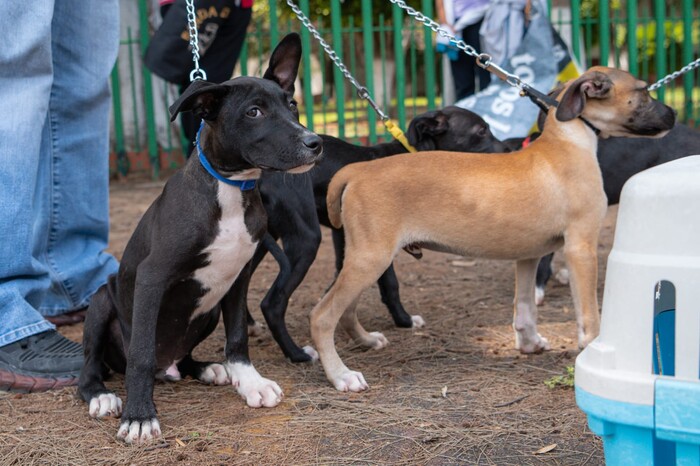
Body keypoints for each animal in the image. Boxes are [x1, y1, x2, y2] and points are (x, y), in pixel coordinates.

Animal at [78, 33, 324, 444]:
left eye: (291, 104)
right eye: (254, 112)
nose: (314, 142)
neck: (231, 189)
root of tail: (167, 368)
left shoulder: (239, 276)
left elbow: (237, 335)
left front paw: (249, 381)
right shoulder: (152, 277)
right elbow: (141, 353)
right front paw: (140, 416)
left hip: (206, 311)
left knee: (185, 356)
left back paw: (208, 368)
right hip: (100, 304)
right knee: (92, 367)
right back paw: (101, 394)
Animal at [246, 105, 508, 360]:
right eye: (482, 130)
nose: (509, 148)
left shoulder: (344, 236)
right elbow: (390, 284)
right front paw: (404, 320)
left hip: (260, 240)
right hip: (306, 239)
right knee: (272, 303)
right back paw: (297, 354)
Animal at [308, 67, 676, 392]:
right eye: (643, 91)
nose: (673, 114)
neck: (569, 141)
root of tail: (358, 170)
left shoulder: (529, 255)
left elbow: (525, 308)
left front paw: (529, 343)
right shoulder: (580, 248)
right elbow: (589, 317)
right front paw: (592, 356)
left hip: (363, 259)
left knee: (343, 308)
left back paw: (366, 340)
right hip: (371, 258)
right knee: (322, 315)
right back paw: (341, 376)